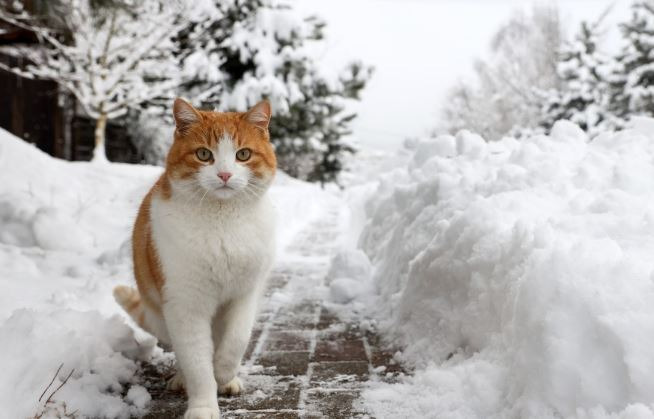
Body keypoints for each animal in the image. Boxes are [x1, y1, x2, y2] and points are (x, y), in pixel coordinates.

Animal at [113, 98, 276, 419]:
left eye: (243, 154)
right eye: (204, 154)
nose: (224, 175)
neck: (223, 222)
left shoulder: (245, 294)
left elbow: (236, 340)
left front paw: (224, 373)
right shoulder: (184, 305)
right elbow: (197, 362)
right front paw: (203, 405)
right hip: (162, 312)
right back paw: (181, 379)